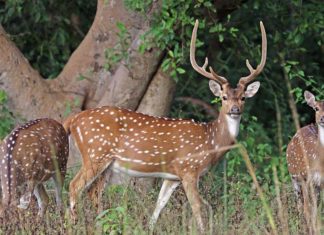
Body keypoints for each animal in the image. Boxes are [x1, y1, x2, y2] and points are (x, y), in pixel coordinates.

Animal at [64, 19, 268, 231]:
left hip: (107, 164)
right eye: (224, 97)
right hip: (95, 153)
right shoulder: (188, 168)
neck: (210, 142)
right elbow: (197, 207)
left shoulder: (172, 177)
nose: (235, 109)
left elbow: (159, 206)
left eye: (243, 97)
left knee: (93, 193)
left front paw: (149, 228)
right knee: (74, 186)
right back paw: (73, 225)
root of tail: (74, 120)